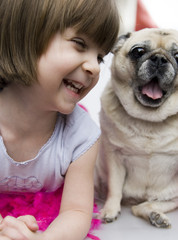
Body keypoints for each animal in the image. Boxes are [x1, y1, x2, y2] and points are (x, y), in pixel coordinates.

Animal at [95, 28, 178, 229]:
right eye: (138, 51)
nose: (159, 59)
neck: (149, 120)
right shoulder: (114, 156)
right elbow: (115, 188)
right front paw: (109, 210)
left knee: (143, 206)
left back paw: (155, 215)